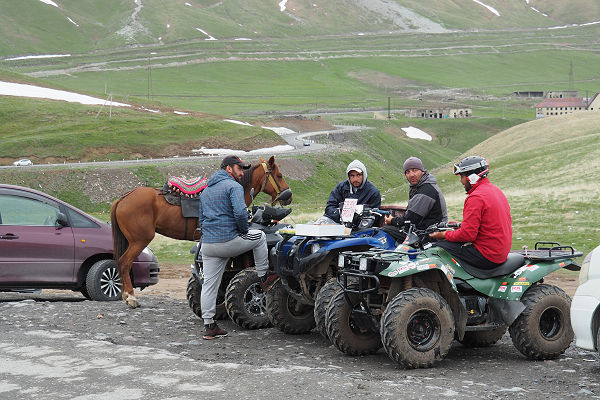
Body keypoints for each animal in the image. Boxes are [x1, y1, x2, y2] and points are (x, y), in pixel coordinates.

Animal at [112, 155, 292, 308]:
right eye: (280, 175)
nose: (288, 195)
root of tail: (123, 198)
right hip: (140, 240)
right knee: (124, 262)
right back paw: (131, 297)